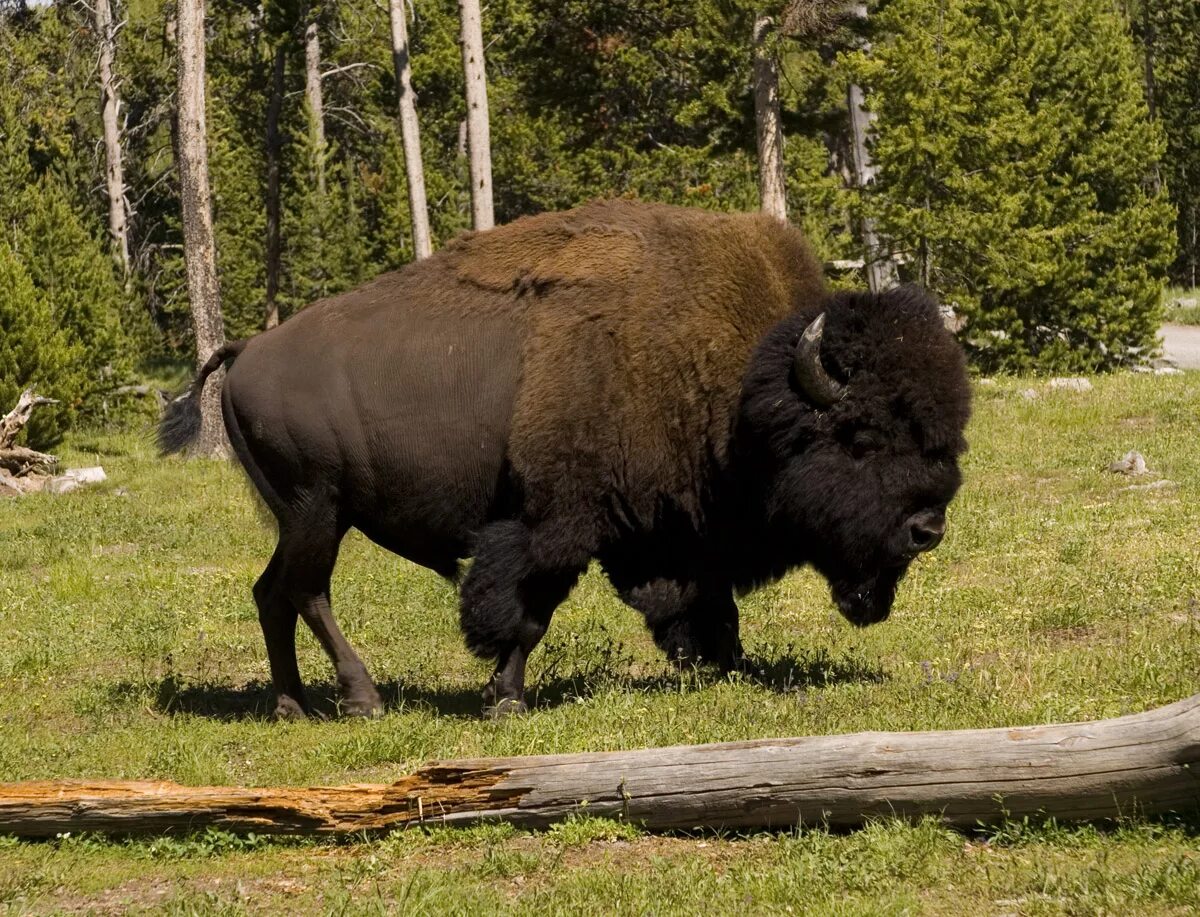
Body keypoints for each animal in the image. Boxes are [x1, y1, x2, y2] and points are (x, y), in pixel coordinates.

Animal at [159, 202, 969, 724]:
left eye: (946, 436)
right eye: (861, 438)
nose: (927, 527)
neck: (736, 388)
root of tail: (248, 350)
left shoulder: (666, 531)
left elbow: (701, 599)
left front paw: (720, 660)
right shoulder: (554, 523)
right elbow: (525, 615)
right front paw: (507, 701)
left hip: (302, 517)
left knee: (272, 593)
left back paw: (291, 705)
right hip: (318, 510)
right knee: (306, 593)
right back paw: (362, 701)